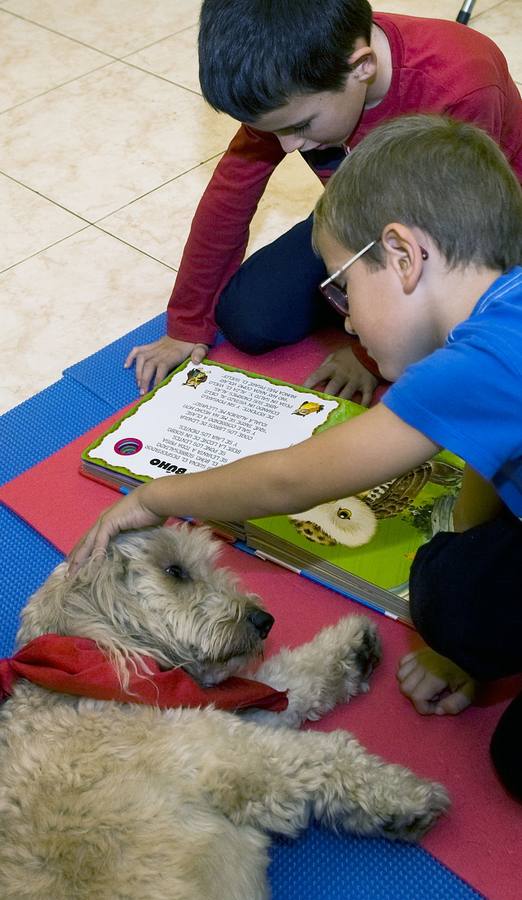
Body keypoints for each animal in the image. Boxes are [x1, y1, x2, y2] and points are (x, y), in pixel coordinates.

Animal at [0, 524, 446, 896]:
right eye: (175, 571)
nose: (264, 620)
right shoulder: (229, 754)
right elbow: (323, 755)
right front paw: (404, 798)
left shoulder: (222, 711)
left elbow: (287, 680)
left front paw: (351, 651)